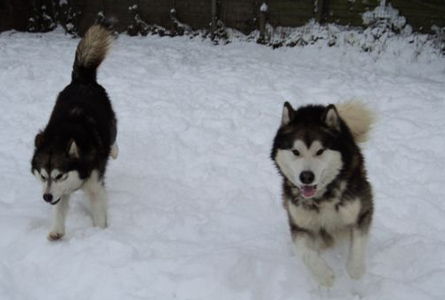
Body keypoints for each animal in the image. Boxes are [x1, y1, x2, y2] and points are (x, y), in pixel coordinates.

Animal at [31, 23, 118, 240]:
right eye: (43, 176)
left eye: (59, 175)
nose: (46, 197)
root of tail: (82, 79)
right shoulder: (59, 192)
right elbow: (58, 208)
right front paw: (56, 230)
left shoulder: (95, 186)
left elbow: (99, 213)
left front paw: (100, 233)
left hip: (111, 124)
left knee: (113, 136)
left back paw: (113, 150)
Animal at [270, 101, 374, 286]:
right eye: (295, 152)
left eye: (320, 151)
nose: (306, 177)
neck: (322, 197)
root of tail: (313, 107)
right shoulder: (299, 224)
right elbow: (304, 251)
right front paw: (323, 275)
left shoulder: (361, 210)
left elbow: (358, 243)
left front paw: (355, 269)